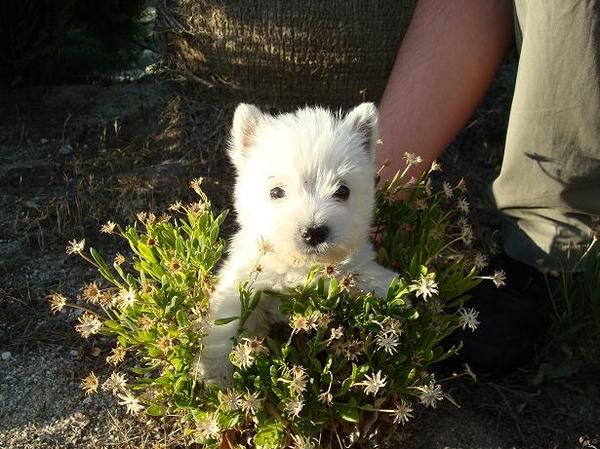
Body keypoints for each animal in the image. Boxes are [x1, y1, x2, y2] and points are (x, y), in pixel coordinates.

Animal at [202, 103, 398, 384]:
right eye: (276, 192)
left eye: (342, 190)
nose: (314, 232)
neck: (302, 268)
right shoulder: (245, 283)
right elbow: (228, 321)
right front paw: (217, 376)